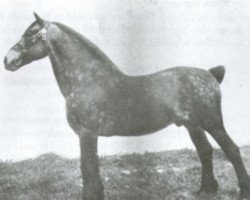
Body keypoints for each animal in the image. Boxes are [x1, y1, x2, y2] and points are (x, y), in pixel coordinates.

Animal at [3, 13, 250, 199]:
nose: (7, 59)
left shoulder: (86, 134)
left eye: (30, 33)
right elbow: (93, 170)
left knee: (232, 150)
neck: (87, 79)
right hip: (193, 125)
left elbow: (87, 169)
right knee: (205, 151)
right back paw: (205, 190)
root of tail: (211, 74)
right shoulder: (88, 136)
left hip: (212, 123)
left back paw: (241, 190)